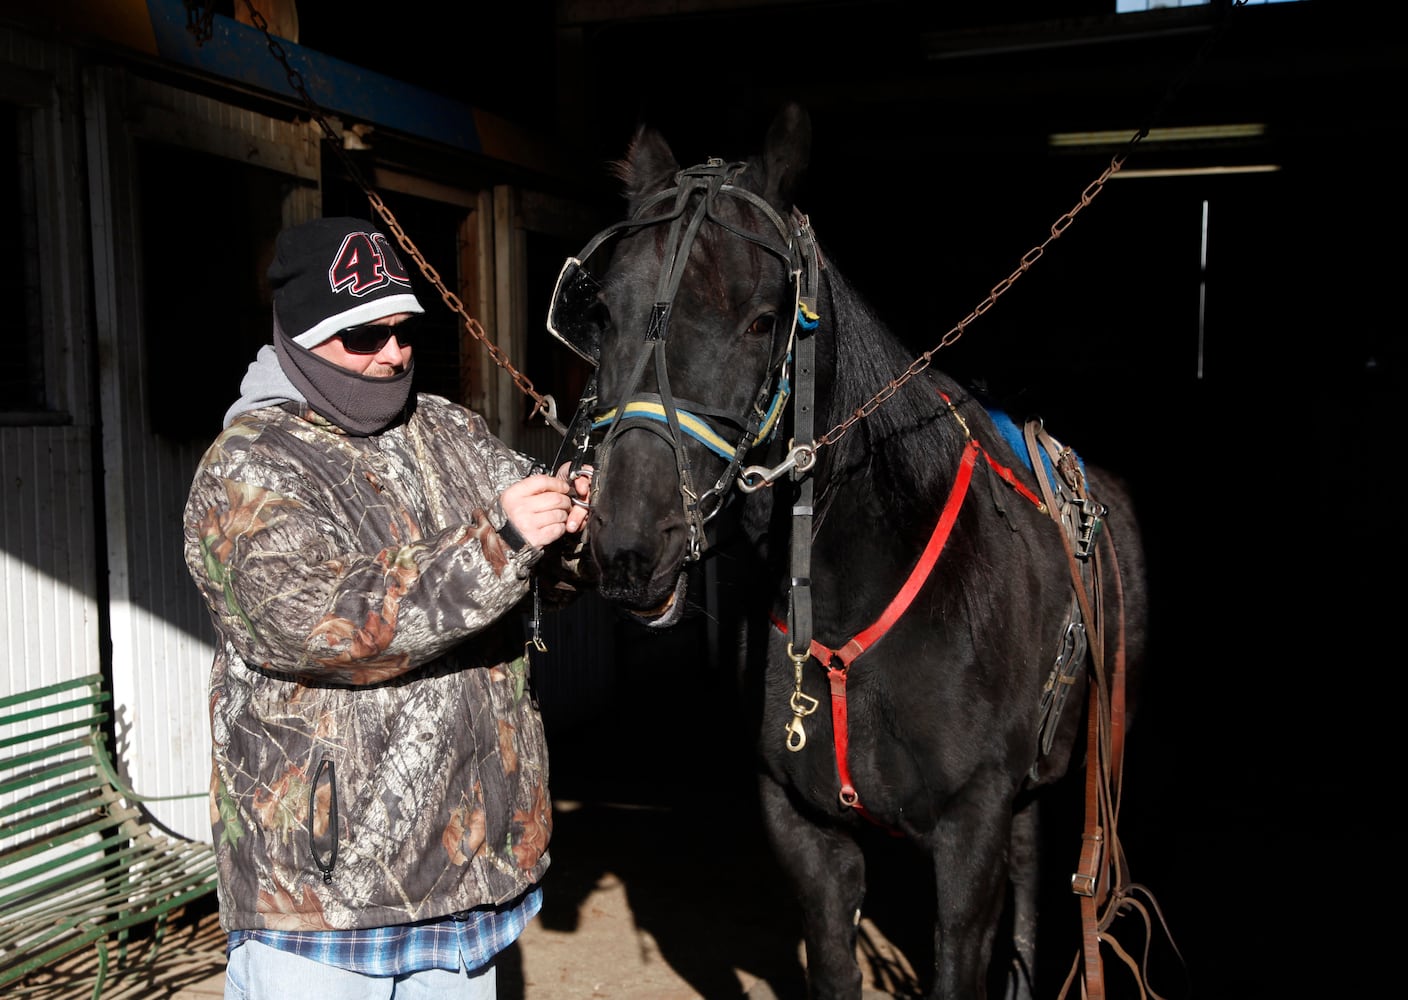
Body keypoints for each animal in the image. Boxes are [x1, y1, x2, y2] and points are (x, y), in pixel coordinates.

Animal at [543, 103, 1148, 1000]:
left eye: (763, 320)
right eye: (604, 315)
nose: (626, 544)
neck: (852, 592)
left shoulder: (968, 836)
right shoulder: (807, 831)